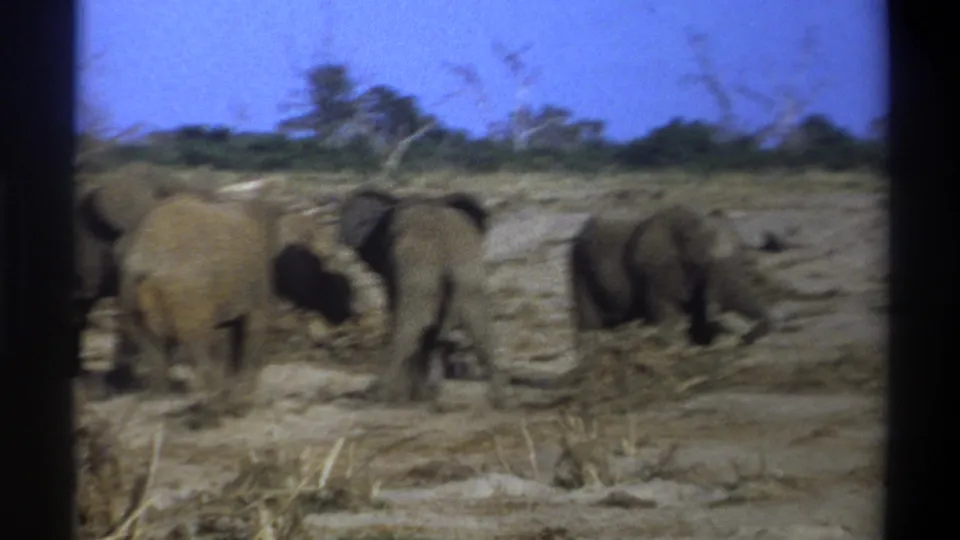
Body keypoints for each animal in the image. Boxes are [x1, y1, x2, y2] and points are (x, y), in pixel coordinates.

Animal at [337, 186, 504, 407]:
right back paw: (500, 400)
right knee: (478, 323)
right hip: (467, 273)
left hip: (421, 271)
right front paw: (424, 394)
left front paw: (413, 395)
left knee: (412, 325)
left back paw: (382, 395)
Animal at [569, 204, 772, 357]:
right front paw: (674, 346)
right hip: (579, 267)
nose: (743, 339)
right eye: (705, 264)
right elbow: (667, 311)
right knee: (589, 317)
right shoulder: (655, 269)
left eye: (743, 258)